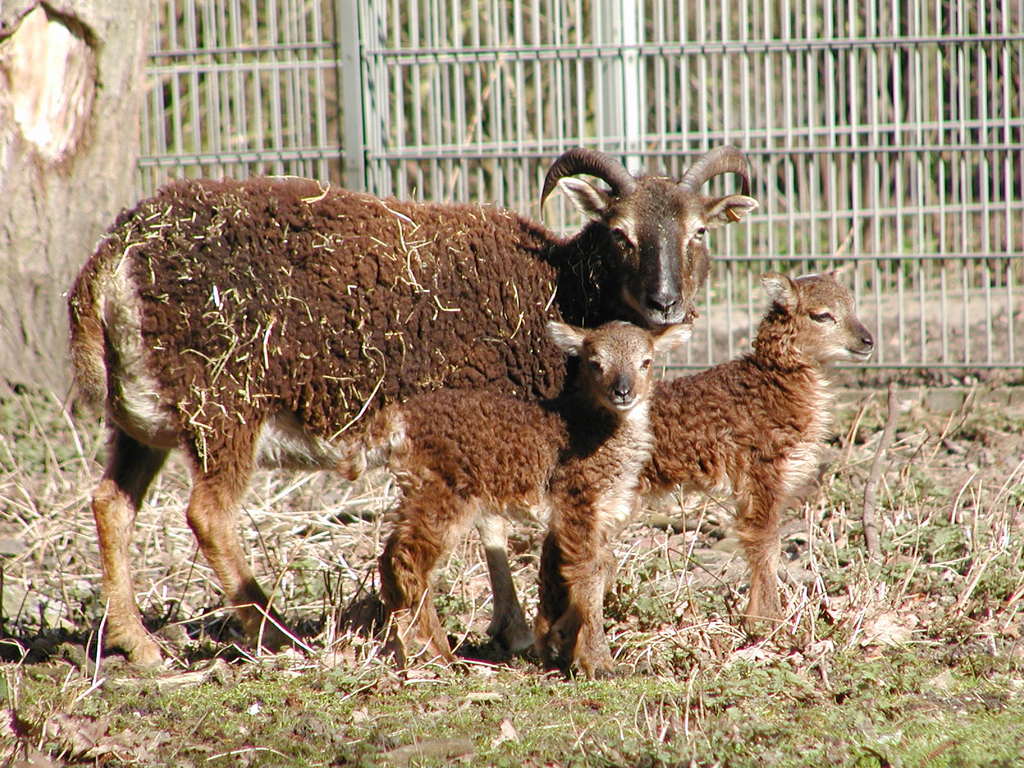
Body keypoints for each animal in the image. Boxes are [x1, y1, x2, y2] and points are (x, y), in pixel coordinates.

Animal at [344, 319, 688, 679]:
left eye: (646, 362)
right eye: (595, 363)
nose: (622, 391)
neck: (593, 430)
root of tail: (396, 420)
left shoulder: (602, 512)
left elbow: (603, 567)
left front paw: (559, 639)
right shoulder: (576, 500)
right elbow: (586, 572)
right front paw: (598, 662)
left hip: (419, 490)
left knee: (392, 557)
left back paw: (405, 646)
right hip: (445, 491)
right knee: (408, 559)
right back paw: (438, 654)